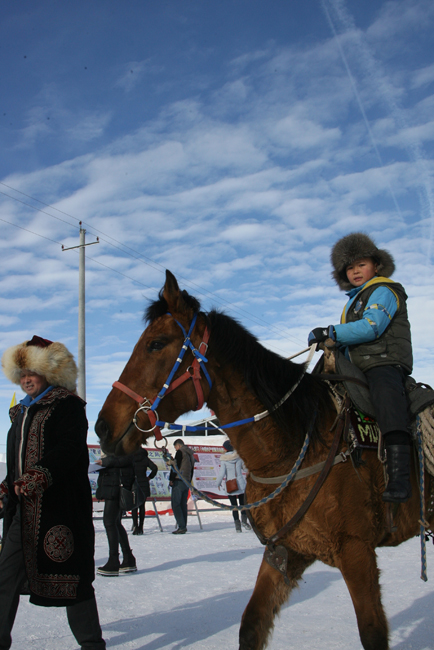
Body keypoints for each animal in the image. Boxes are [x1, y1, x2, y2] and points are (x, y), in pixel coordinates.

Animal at [96, 268, 434, 648]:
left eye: (155, 343)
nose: (102, 426)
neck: (296, 446)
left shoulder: (356, 552)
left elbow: (373, 633)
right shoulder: (285, 551)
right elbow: (252, 625)